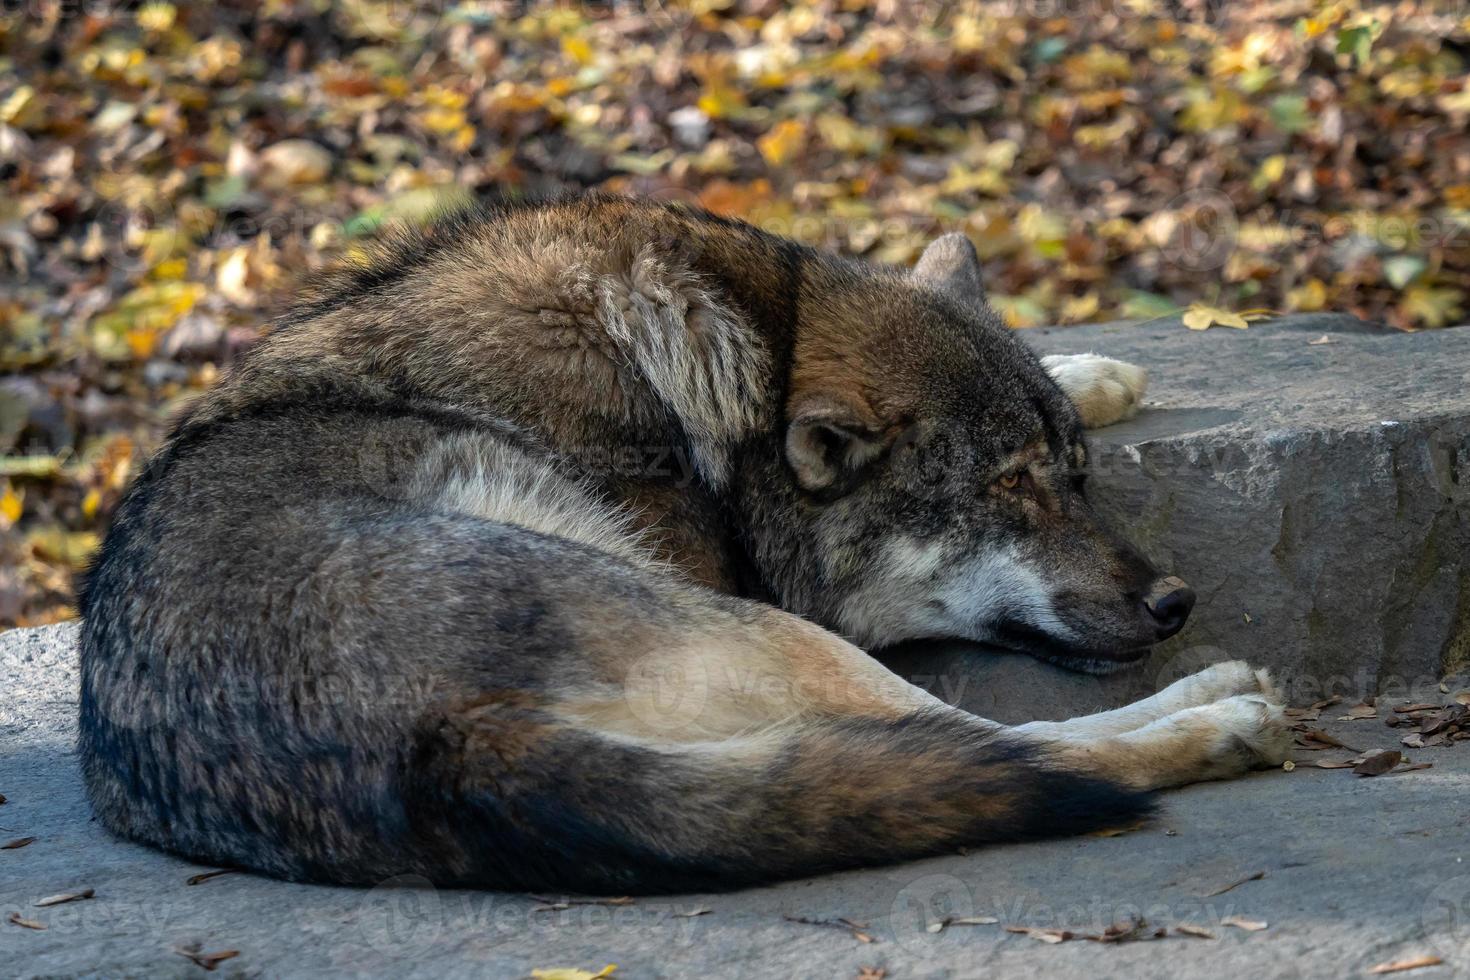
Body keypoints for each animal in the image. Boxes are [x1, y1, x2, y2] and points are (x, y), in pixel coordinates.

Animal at [77, 195, 1287, 893]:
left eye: (1072, 473)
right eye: (1009, 492)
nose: (1175, 601)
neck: (751, 367)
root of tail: (442, 747)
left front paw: (1099, 368)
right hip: (753, 626)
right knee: (1013, 743)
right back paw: (1219, 713)